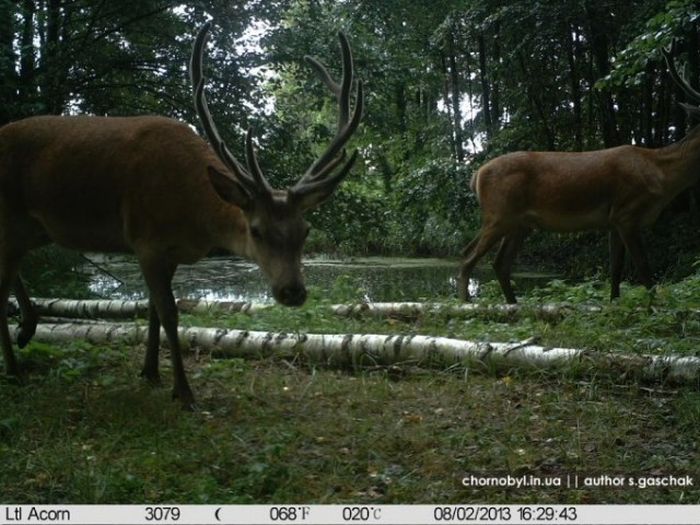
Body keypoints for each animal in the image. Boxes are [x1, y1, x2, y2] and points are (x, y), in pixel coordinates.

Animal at [0, 22, 360, 408]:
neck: (193, 218)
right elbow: (170, 313)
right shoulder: (145, 240)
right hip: (10, 217)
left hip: (32, 229)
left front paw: (150, 372)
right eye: (256, 230)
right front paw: (184, 392)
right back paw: (15, 369)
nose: (293, 291)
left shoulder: (166, 253)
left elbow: (153, 311)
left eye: (305, 230)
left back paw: (28, 328)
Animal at [460, 48, 700, 304]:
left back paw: (512, 304)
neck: (662, 175)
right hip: (499, 214)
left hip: (519, 223)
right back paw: (466, 303)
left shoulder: (613, 220)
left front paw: (613, 303)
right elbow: (644, 268)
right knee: (467, 257)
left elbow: (615, 269)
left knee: (499, 263)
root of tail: (477, 175)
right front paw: (653, 305)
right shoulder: (627, 212)